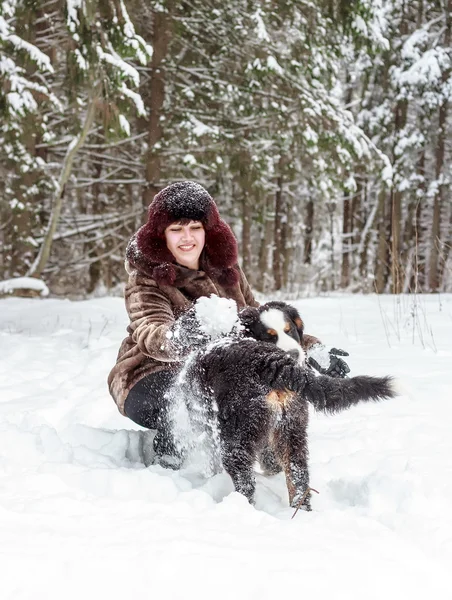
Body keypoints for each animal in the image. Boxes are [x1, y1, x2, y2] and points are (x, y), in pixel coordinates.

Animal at [179, 300, 396, 510]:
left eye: (289, 330)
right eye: (269, 336)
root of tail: (274, 363)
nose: (294, 354)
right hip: (292, 431)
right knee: (298, 478)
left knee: (245, 481)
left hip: (237, 439)